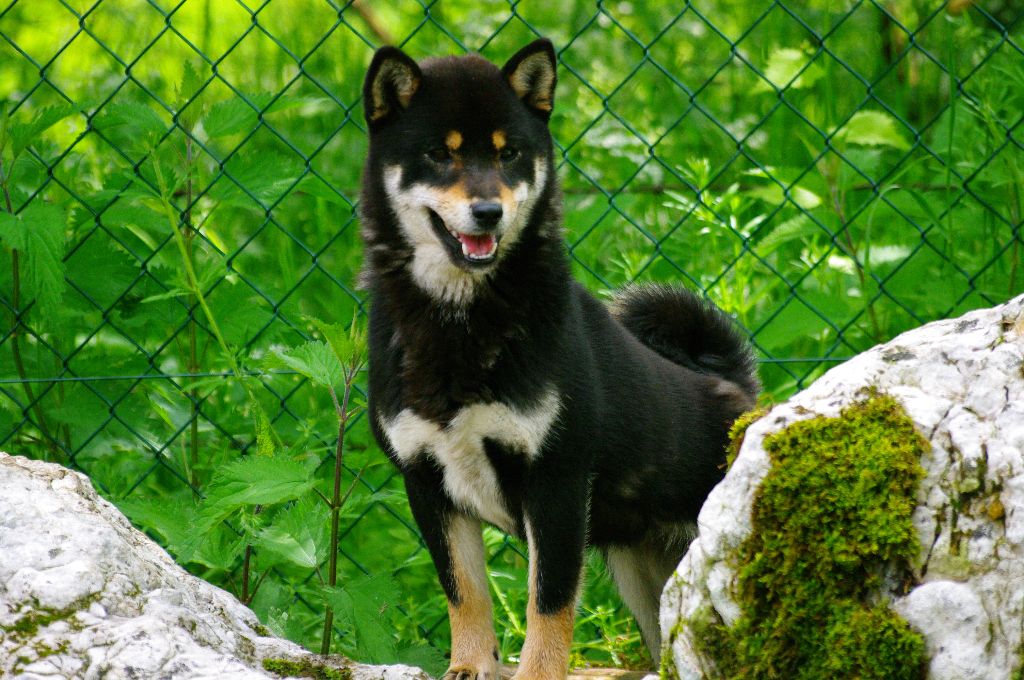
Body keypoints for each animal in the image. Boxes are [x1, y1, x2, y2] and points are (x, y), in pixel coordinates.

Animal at [359, 38, 759, 680]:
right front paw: (470, 665)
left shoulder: (557, 481)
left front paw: (536, 672)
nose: (488, 212)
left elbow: (547, 602)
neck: (457, 323)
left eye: (510, 154)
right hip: (647, 575)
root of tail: (737, 390)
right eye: (438, 154)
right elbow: (464, 592)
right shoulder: (427, 481)